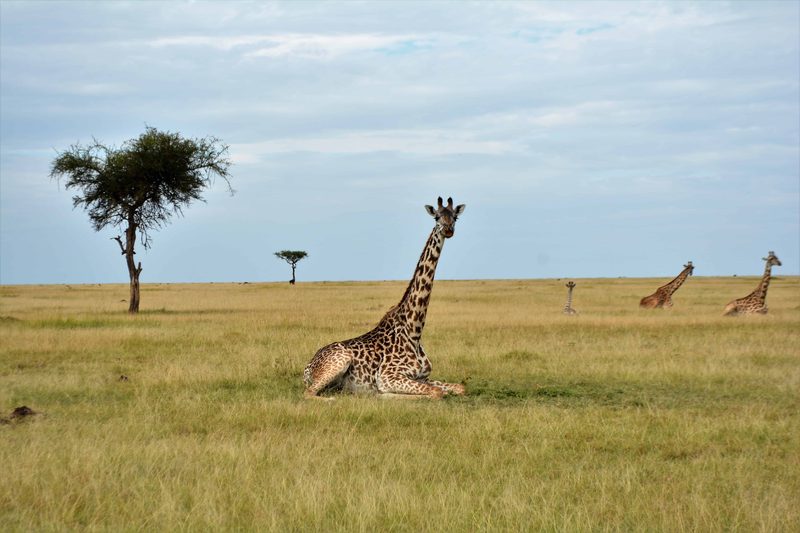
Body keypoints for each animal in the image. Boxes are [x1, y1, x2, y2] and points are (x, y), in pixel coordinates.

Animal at [303, 197, 467, 400]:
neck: (414, 331)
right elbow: (436, 392)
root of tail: (308, 367)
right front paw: (382, 394)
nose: (448, 229)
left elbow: (460, 387)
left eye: (455, 217)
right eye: (436, 217)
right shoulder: (388, 376)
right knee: (309, 393)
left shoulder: (423, 377)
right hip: (339, 363)